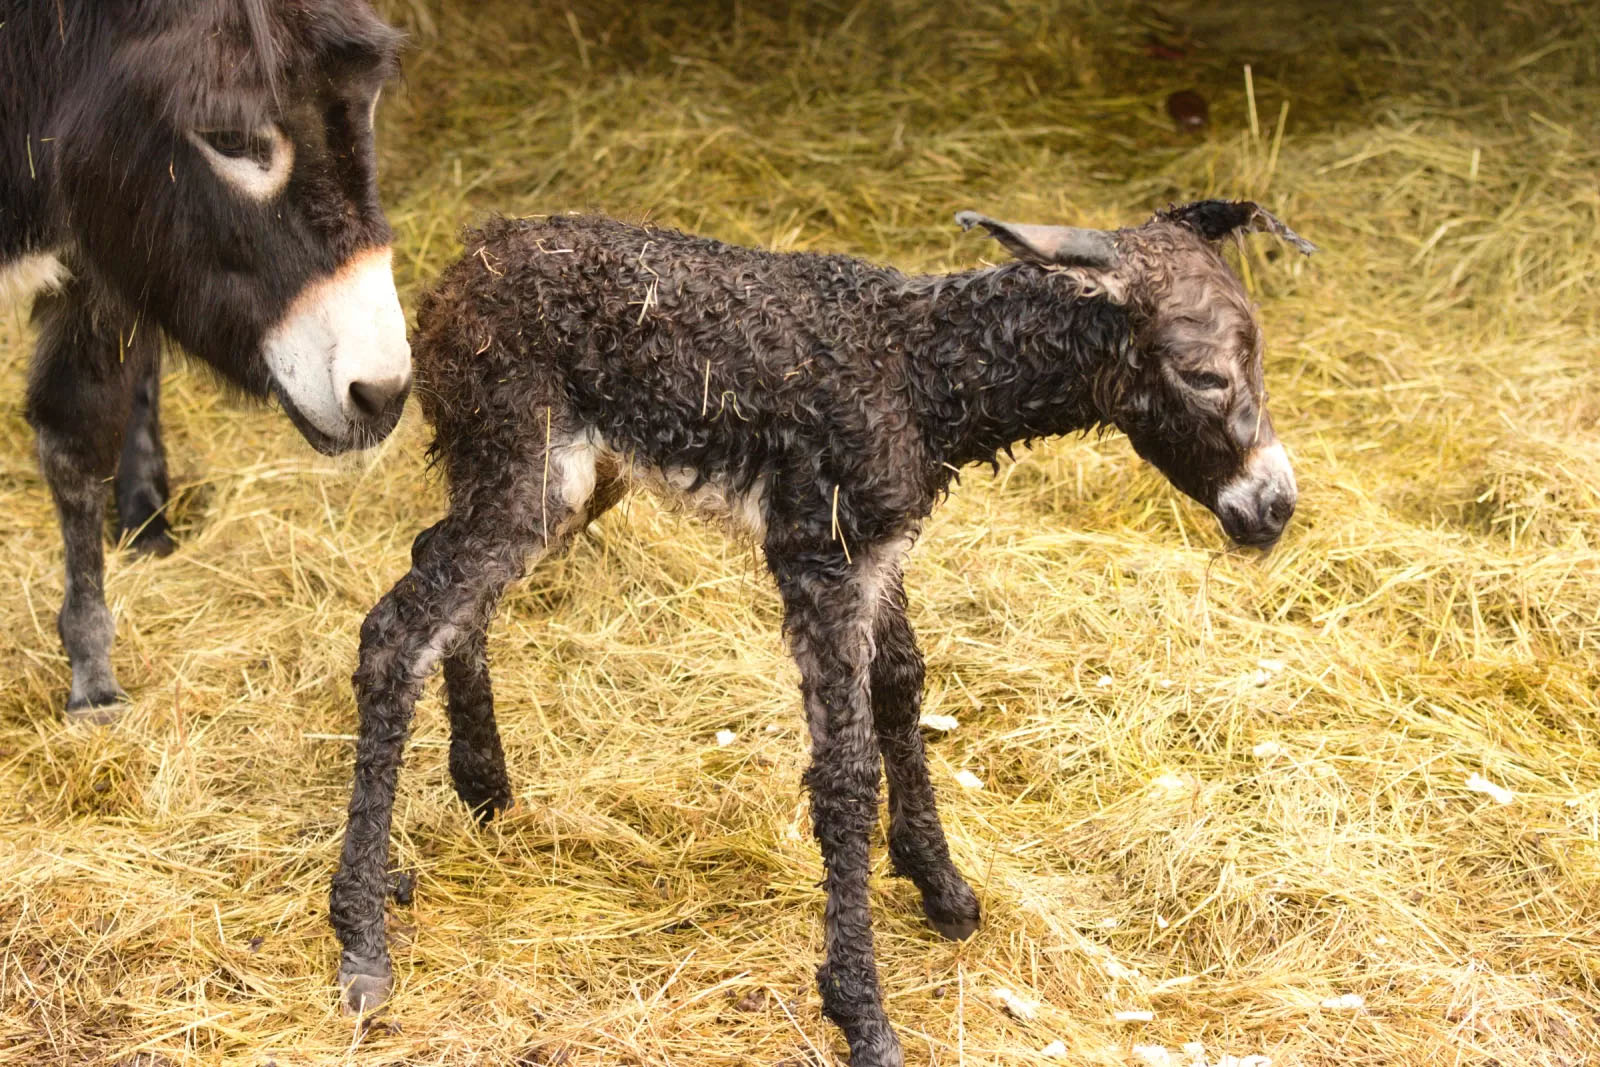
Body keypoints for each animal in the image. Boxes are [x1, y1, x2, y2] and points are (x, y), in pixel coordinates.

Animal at [328, 202, 1312, 1067]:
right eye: (1203, 374)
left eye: (1258, 358)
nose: (1274, 508)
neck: (920, 371)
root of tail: (465, 263)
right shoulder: (821, 558)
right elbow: (843, 775)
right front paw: (863, 1012)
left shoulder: (879, 551)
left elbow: (903, 686)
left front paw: (940, 885)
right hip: (525, 459)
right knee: (395, 630)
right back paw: (363, 941)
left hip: (558, 480)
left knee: (442, 580)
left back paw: (481, 780)